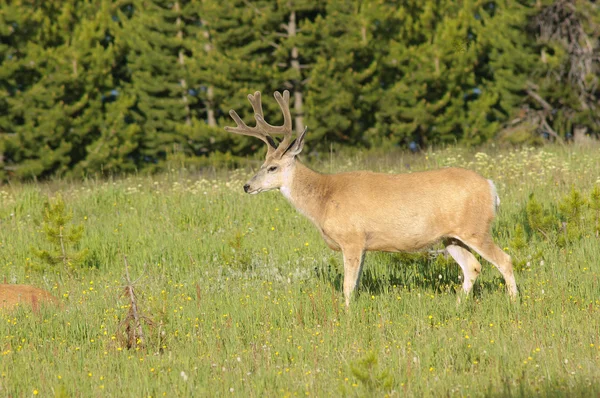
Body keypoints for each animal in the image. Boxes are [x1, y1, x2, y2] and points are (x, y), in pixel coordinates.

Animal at [223, 91, 516, 308]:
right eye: (262, 163)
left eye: (272, 167)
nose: (247, 186)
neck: (323, 200)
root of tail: (491, 187)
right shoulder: (363, 243)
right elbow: (356, 284)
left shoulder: (351, 238)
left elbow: (347, 285)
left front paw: (346, 315)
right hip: (451, 237)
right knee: (473, 267)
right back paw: (457, 306)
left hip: (475, 228)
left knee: (504, 260)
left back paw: (515, 304)